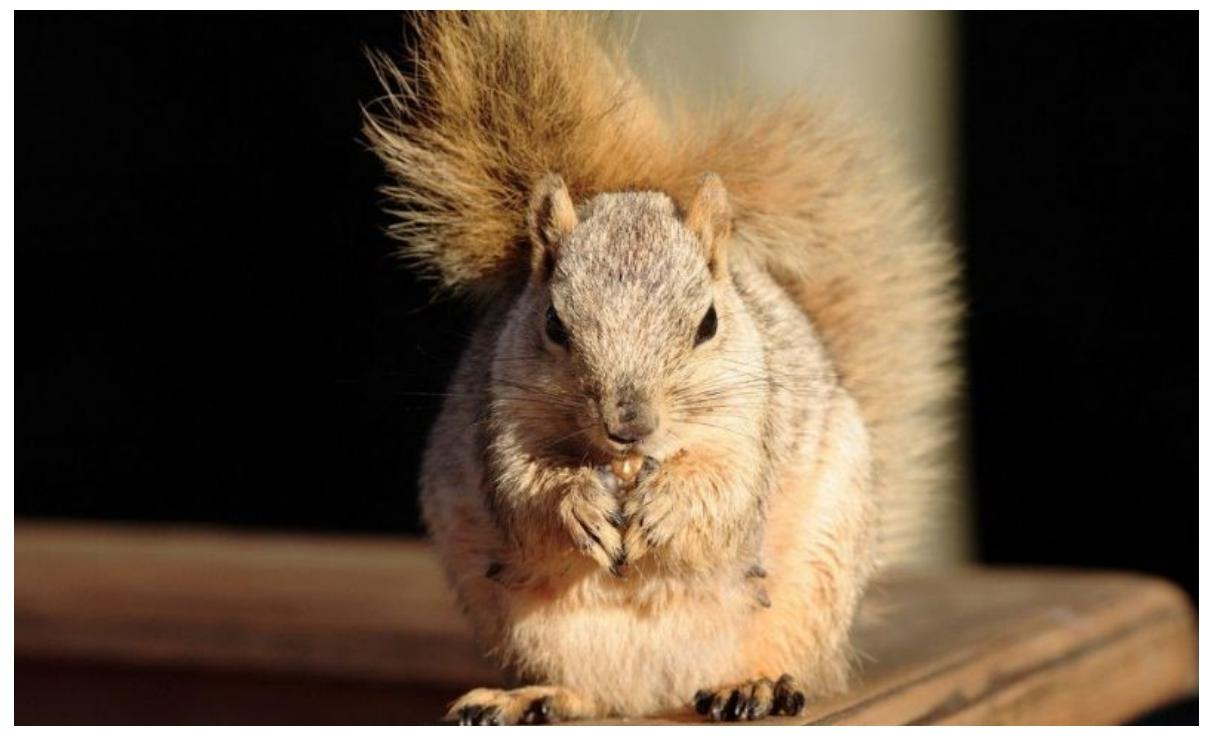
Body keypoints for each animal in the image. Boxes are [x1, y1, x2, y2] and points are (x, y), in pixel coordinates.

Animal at [363, 11, 959, 724]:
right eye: (553, 323)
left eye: (709, 323)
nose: (629, 425)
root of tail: (659, 688)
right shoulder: (499, 420)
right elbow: (524, 492)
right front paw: (577, 504)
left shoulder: (751, 427)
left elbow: (729, 494)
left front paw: (667, 507)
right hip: (530, 627)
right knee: (588, 691)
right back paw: (533, 695)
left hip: (812, 586)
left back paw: (752, 684)